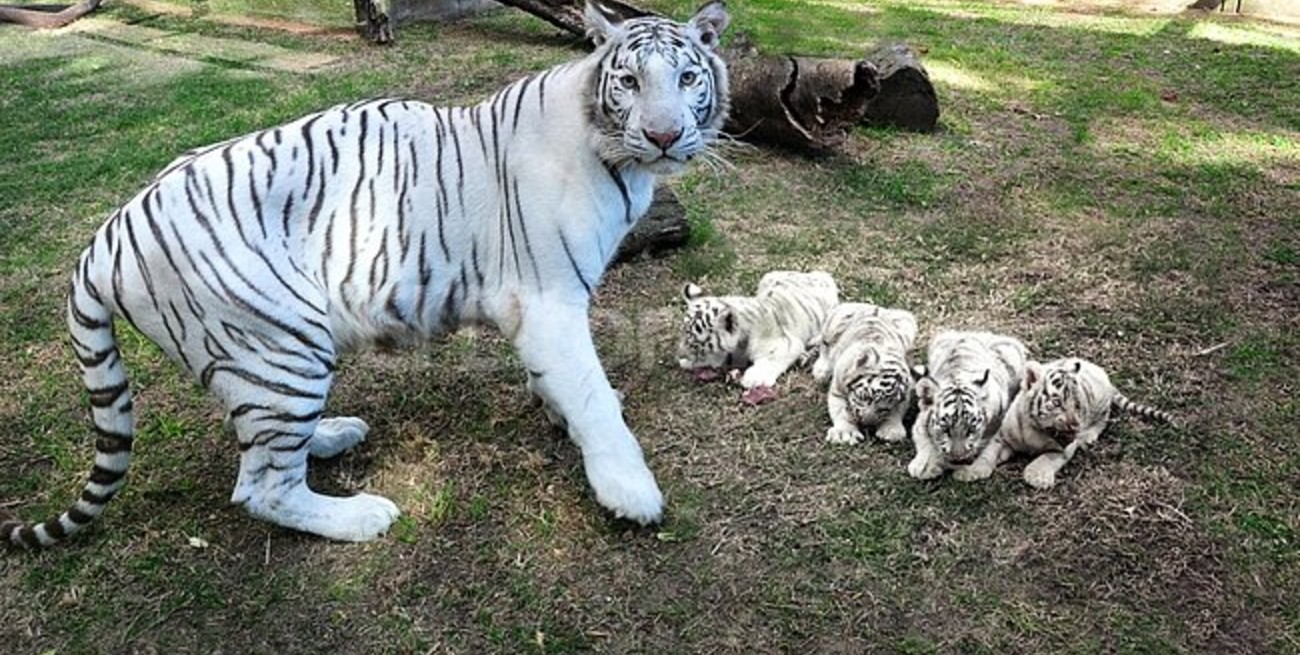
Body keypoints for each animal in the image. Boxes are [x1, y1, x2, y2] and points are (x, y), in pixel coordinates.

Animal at [0, 1, 733, 548]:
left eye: (687, 79)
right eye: (629, 82)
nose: (666, 136)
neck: (613, 150)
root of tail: (107, 233)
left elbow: (561, 382)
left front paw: (555, 413)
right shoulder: (549, 299)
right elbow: (593, 394)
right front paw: (629, 491)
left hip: (251, 358)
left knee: (252, 439)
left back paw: (329, 434)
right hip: (283, 341)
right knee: (261, 487)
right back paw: (361, 515)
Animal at [676, 271, 839, 393]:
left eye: (696, 343)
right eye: (683, 333)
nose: (679, 355)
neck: (739, 345)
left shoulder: (787, 343)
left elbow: (771, 359)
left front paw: (754, 378)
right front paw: (686, 362)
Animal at [811, 302, 917, 445]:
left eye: (884, 409)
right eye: (865, 397)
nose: (865, 422)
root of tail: (872, 305)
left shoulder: (905, 395)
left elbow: (897, 412)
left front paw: (891, 431)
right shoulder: (837, 388)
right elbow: (840, 411)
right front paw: (845, 433)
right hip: (835, 321)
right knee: (824, 345)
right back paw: (821, 370)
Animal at [908, 330, 1028, 480]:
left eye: (971, 429)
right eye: (945, 429)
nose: (957, 460)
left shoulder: (1002, 426)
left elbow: (992, 448)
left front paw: (973, 471)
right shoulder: (921, 419)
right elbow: (923, 440)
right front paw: (924, 466)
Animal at [953, 357, 1175, 489]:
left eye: (1077, 405)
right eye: (1057, 403)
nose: (1075, 425)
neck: (1036, 429)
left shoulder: (1063, 448)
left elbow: (1046, 458)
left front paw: (1037, 476)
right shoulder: (1001, 437)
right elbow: (986, 454)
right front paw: (970, 472)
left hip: (1101, 406)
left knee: (1102, 420)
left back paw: (1088, 436)